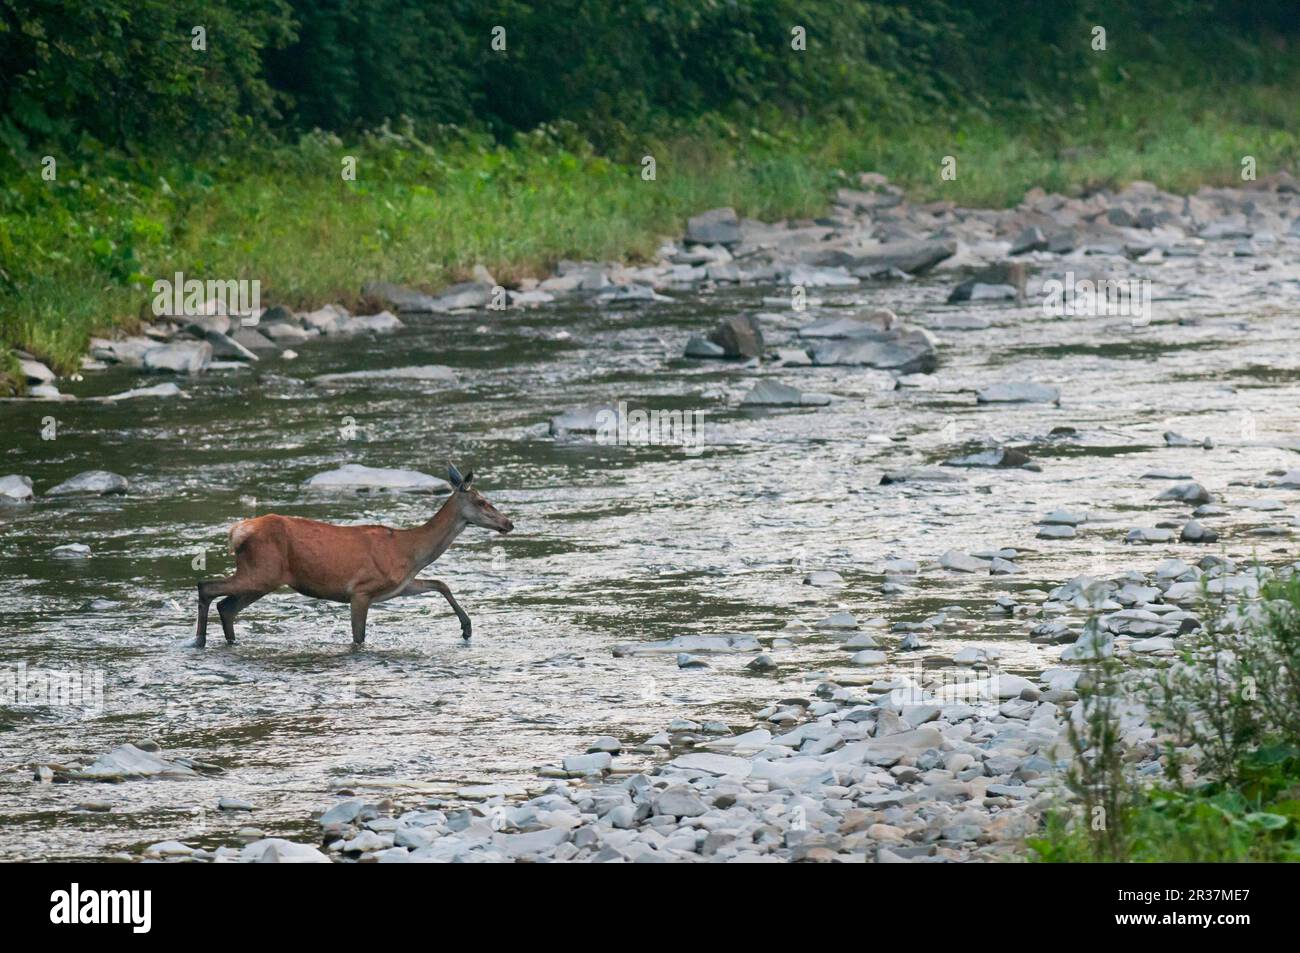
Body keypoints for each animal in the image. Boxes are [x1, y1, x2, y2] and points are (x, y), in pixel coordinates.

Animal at [192, 465, 512, 647]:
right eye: (482, 501)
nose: (508, 523)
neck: (409, 551)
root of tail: (237, 531)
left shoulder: (398, 586)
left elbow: (439, 583)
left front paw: (467, 628)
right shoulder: (361, 590)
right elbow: (359, 637)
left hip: (263, 578)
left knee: (227, 607)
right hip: (261, 571)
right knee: (206, 587)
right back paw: (199, 641)